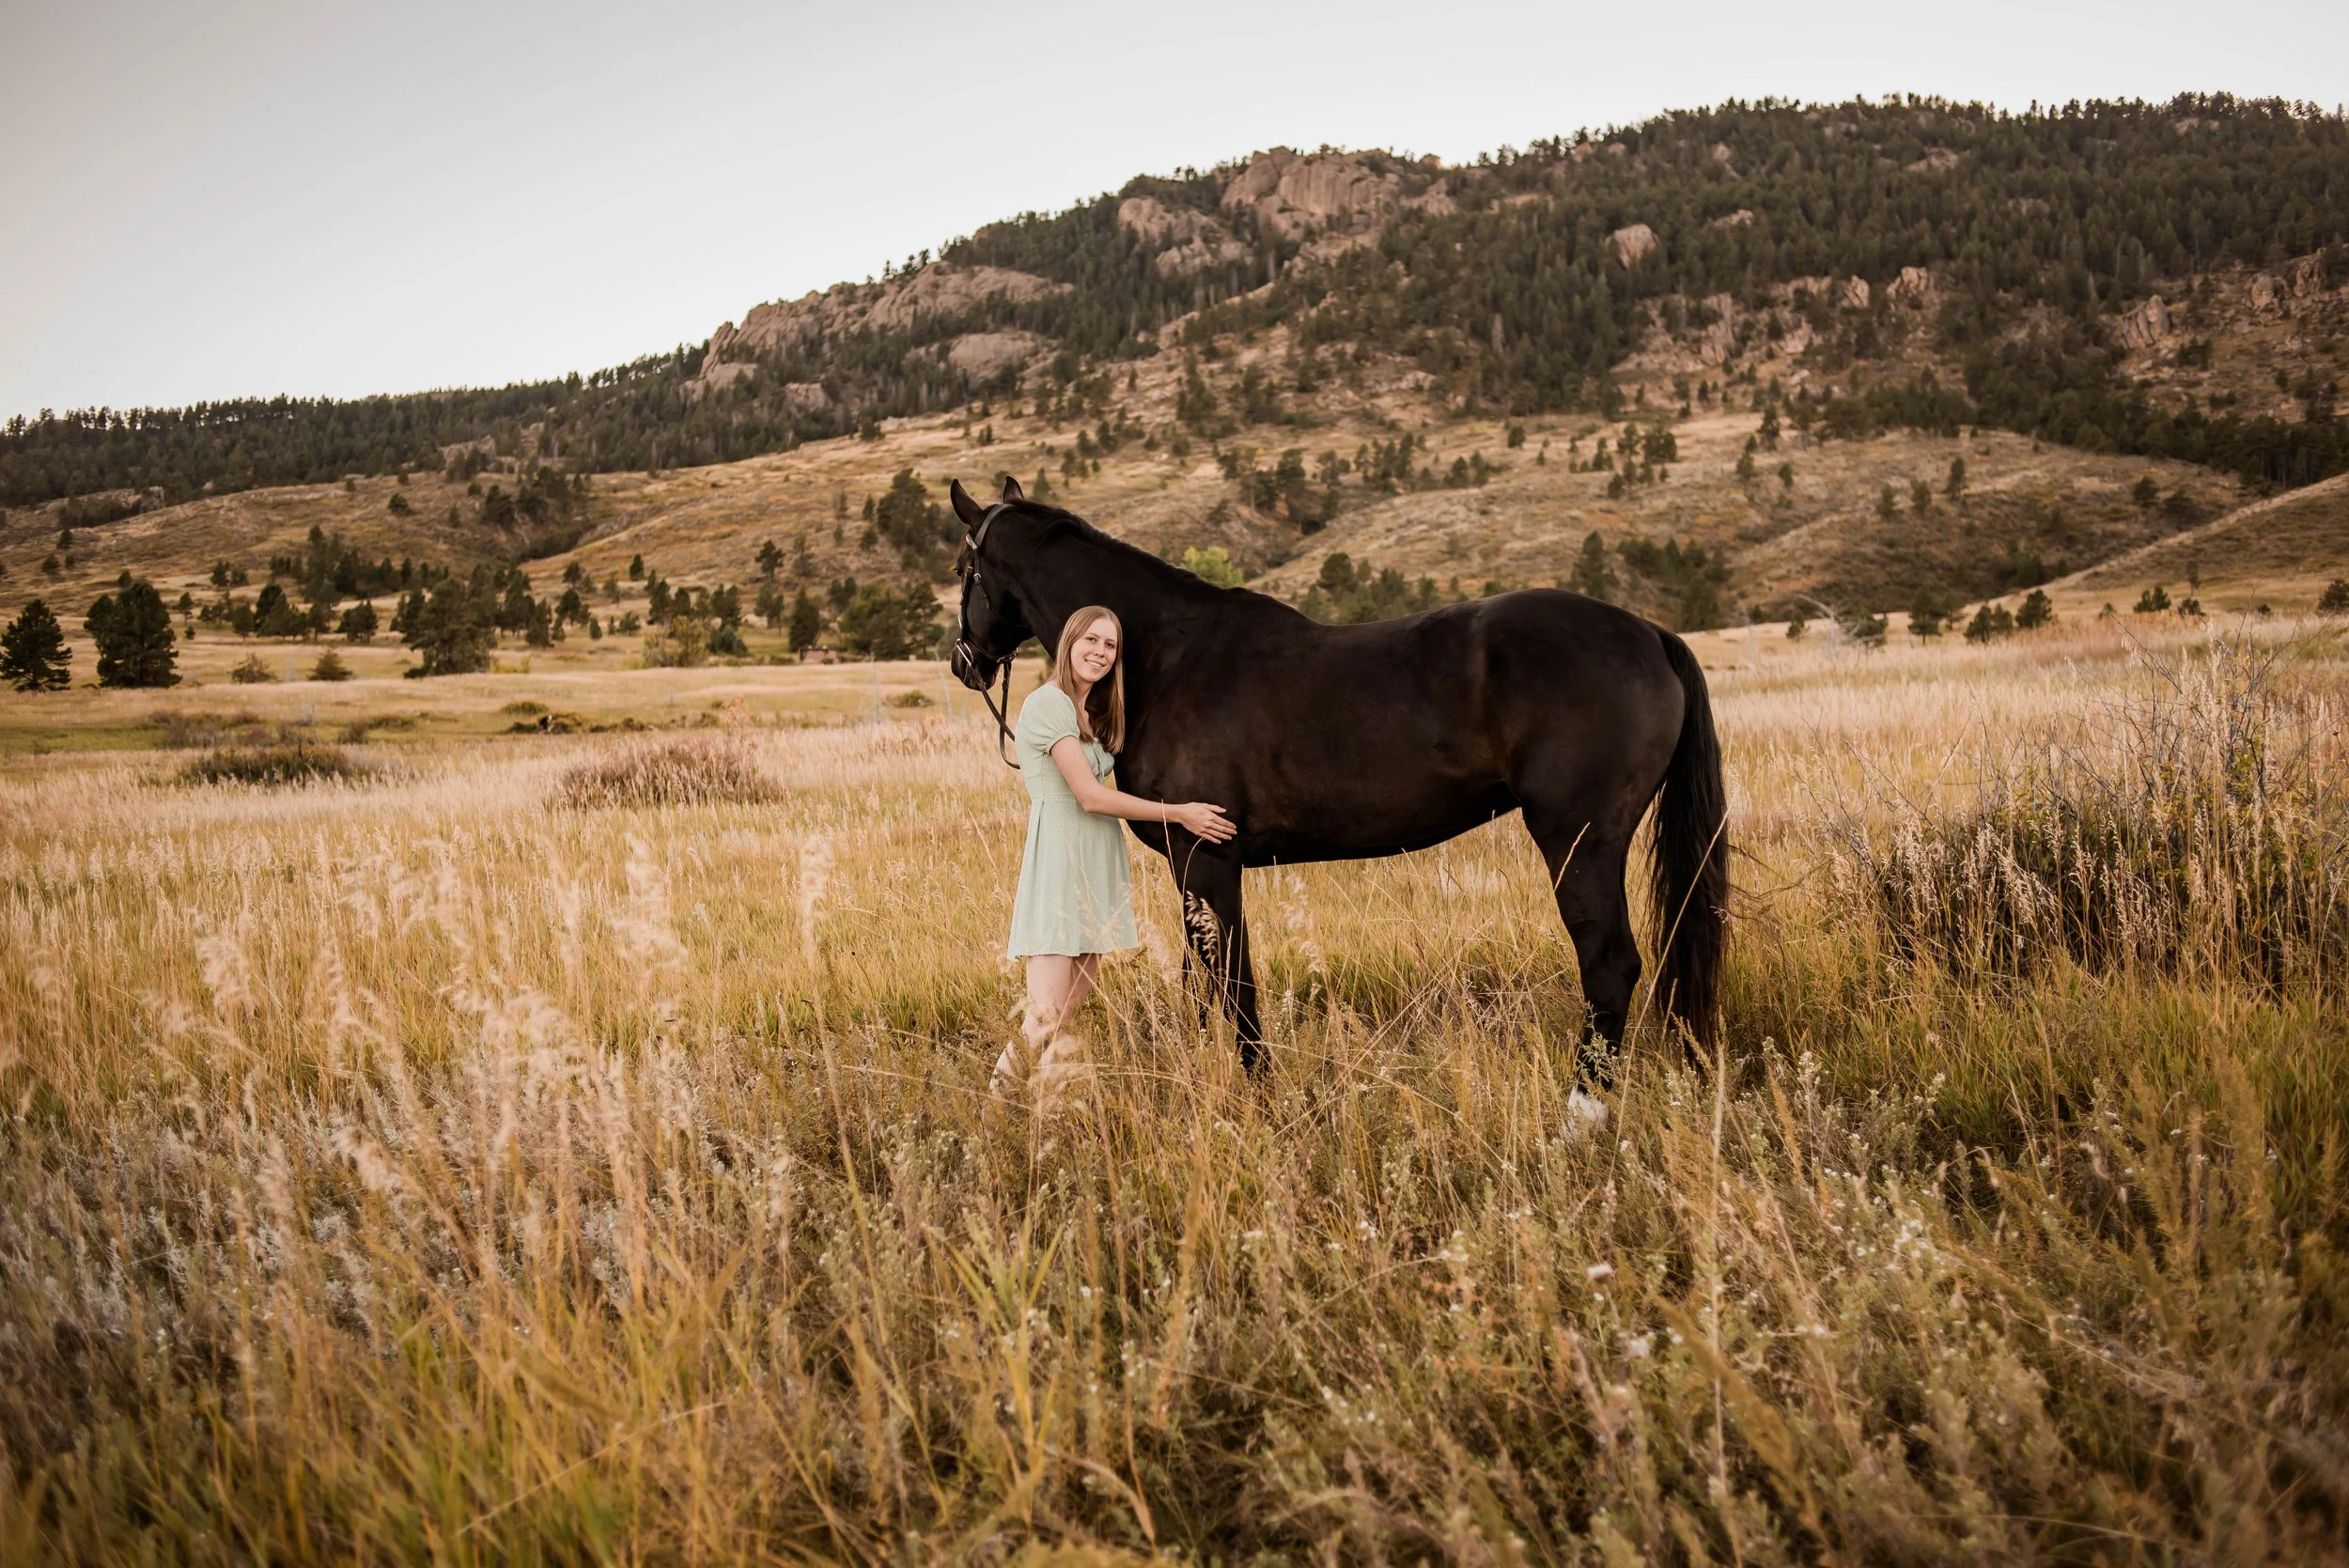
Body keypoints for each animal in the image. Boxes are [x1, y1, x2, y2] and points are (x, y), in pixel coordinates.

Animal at [947, 475, 1727, 1078]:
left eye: (962, 569)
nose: (963, 660)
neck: (1167, 656)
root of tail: (1647, 631)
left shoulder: (1209, 857)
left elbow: (1234, 984)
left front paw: (1257, 1087)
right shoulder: (1190, 862)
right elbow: (1204, 983)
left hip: (1580, 840)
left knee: (1609, 964)